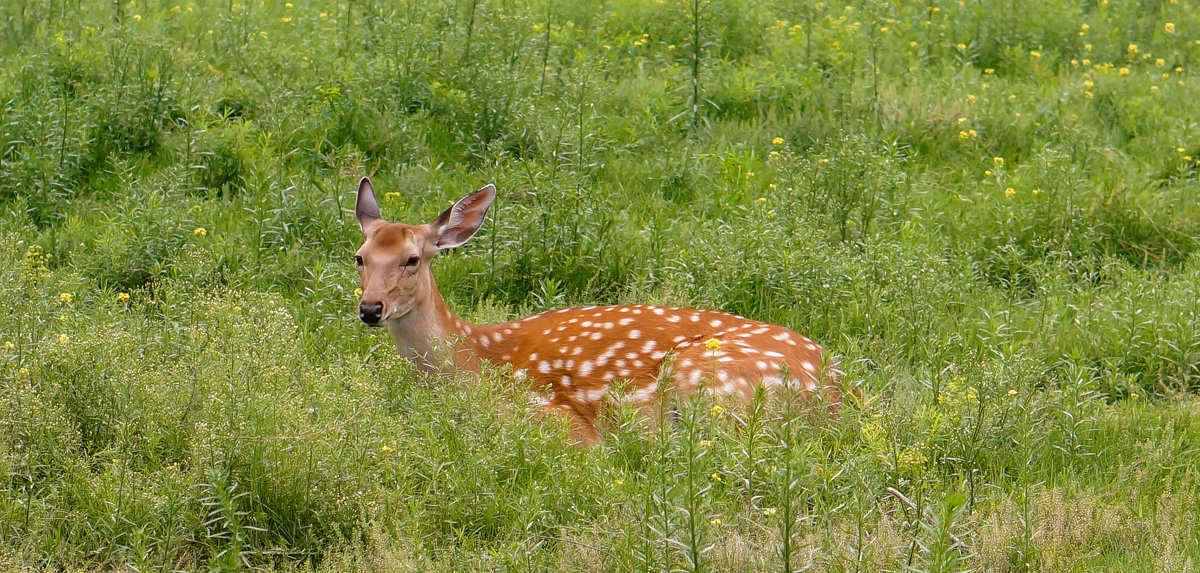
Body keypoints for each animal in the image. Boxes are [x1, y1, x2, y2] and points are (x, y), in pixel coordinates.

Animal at [350, 177, 849, 443]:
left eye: (413, 259)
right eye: (359, 256)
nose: (370, 308)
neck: (472, 359)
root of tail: (842, 396)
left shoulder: (553, 417)